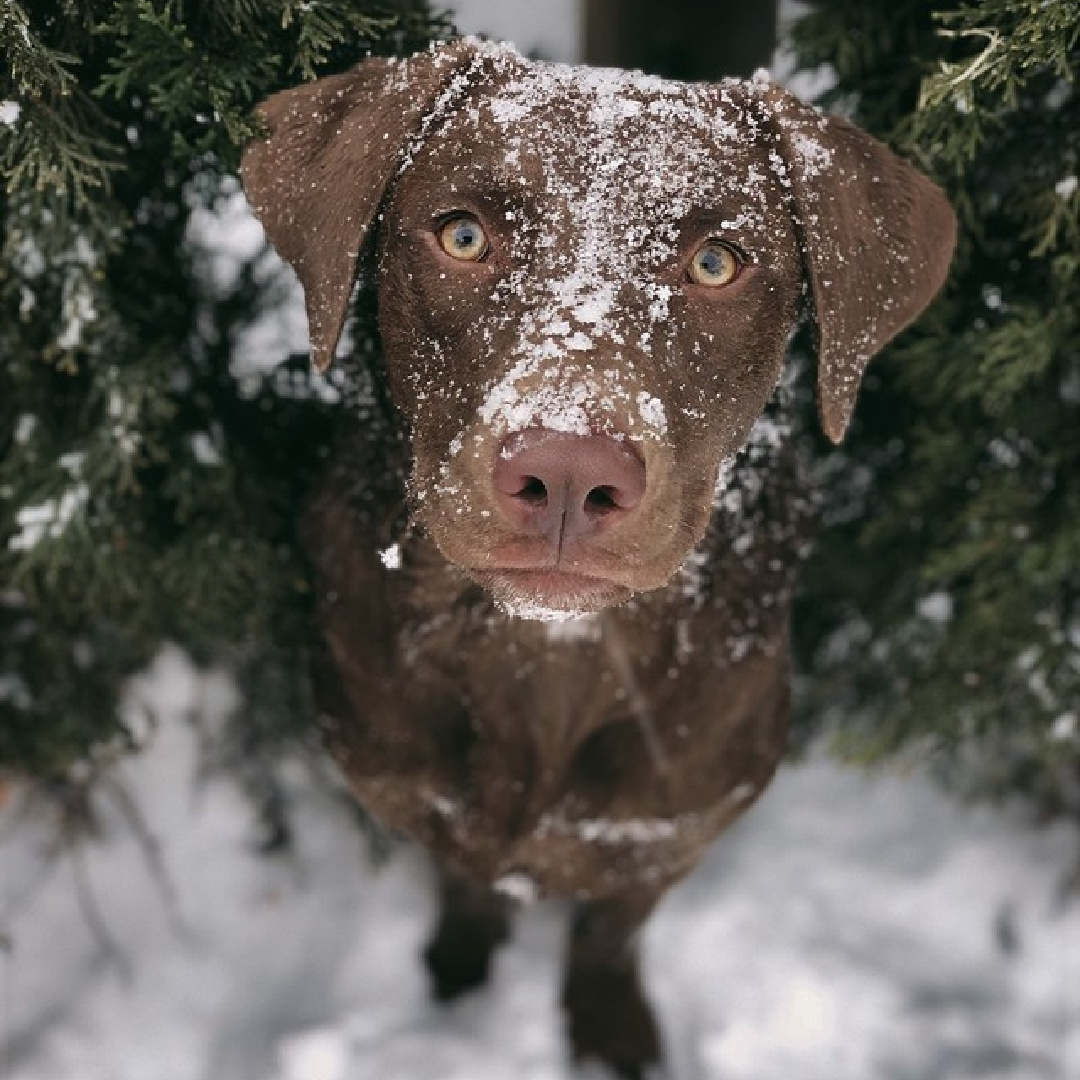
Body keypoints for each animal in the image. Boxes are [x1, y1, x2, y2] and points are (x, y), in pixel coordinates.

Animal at [243, 39, 954, 1080]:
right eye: (462, 237)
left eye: (715, 262)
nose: (570, 470)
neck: (551, 654)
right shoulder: (408, 790)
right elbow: (464, 879)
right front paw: (458, 979)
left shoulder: (669, 830)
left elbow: (612, 932)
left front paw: (612, 1033)